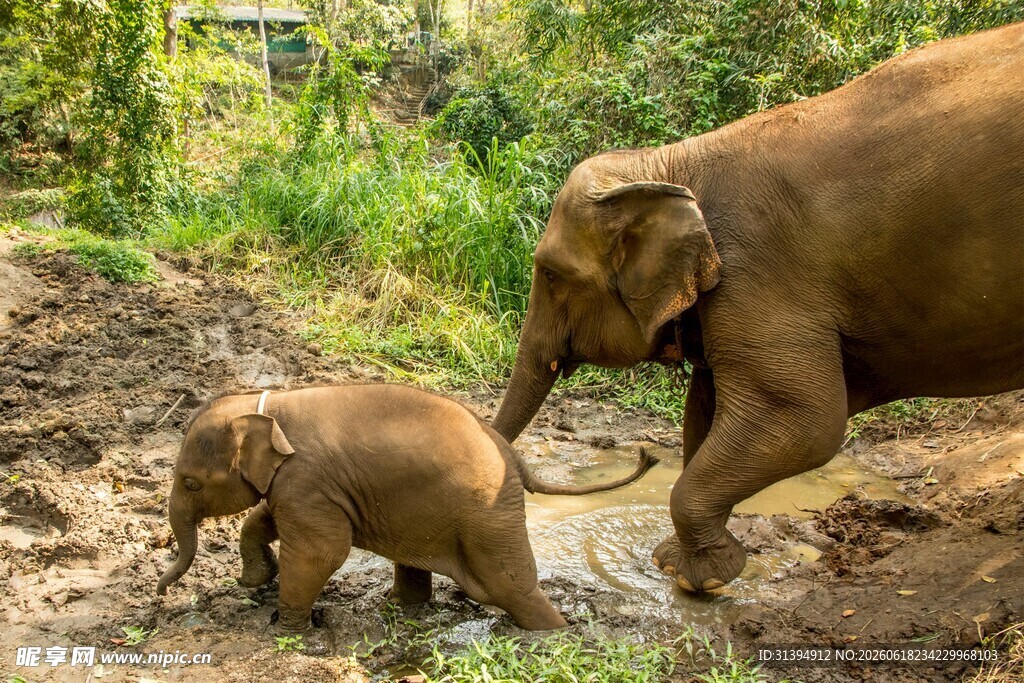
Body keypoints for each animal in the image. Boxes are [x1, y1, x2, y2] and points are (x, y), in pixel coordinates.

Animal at [155, 384, 657, 632]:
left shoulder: (306, 479)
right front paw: (256, 581)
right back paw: (400, 606)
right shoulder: (298, 485)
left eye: (190, 482)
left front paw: (287, 629)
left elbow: (325, 550)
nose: (160, 594)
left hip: (489, 518)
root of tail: (513, 456)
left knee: (512, 587)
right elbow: (265, 518)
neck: (263, 405)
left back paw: (556, 634)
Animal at [491, 23, 1024, 593]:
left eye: (550, 274)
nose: (644, 454)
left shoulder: (761, 271)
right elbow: (704, 413)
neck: (671, 161)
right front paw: (679, 565)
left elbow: (802, 419)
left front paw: (700, 578)